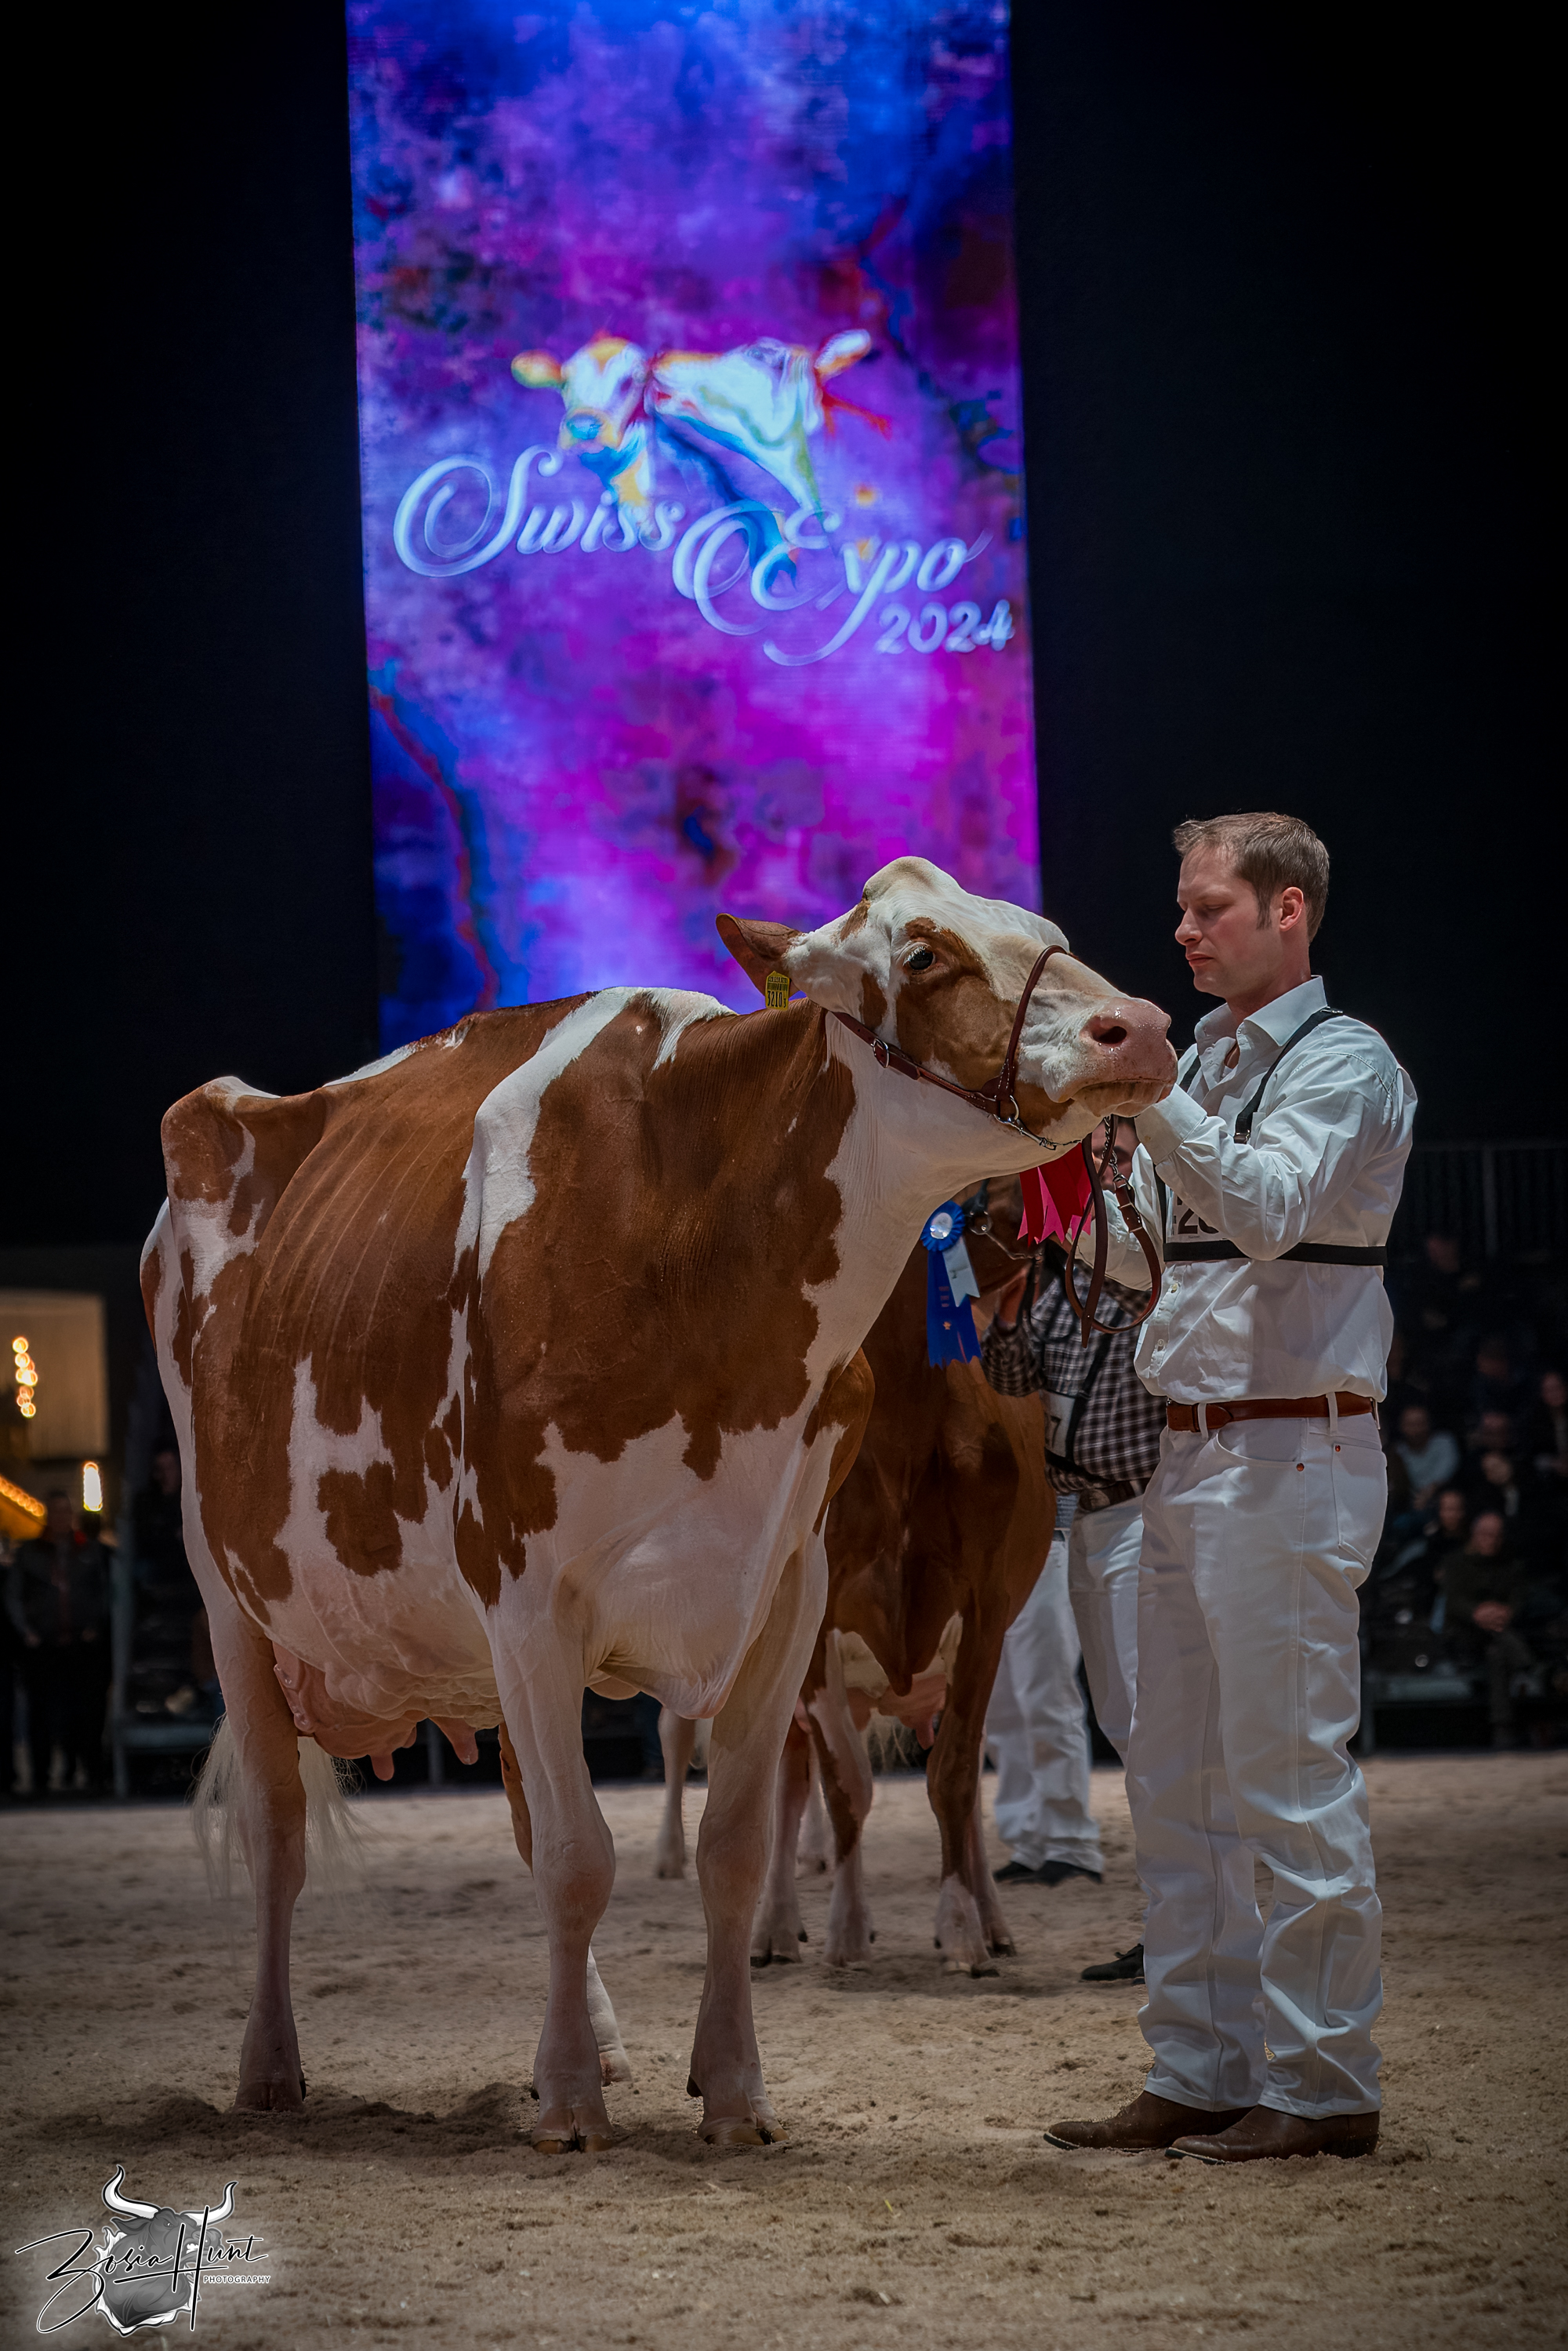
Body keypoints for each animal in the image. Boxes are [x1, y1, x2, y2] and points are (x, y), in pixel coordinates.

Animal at [654, 1180, 1052, 1977]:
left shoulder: (985, 1615)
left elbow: (953, 1779)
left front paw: (961, 1926)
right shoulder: (814, 1627)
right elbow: (844, 1788)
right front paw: (845, 1929)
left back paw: (991, 1916)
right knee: (784, 1780)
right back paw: (774, 1926)